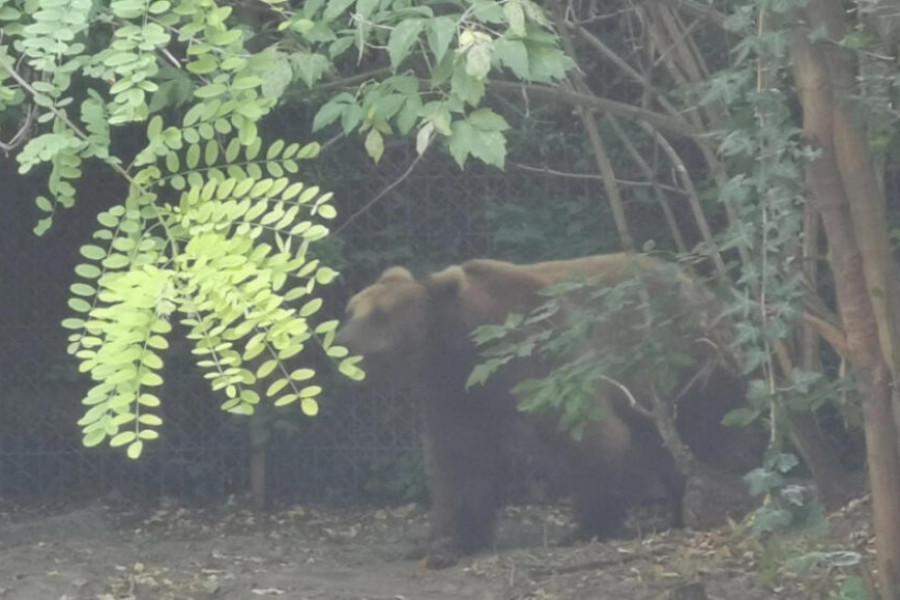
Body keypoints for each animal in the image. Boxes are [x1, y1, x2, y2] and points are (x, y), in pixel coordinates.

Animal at [334, 253, 740, 568]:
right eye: (352, 309)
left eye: (381, 315)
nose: (341, 342)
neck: (465, 347)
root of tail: (700, 285)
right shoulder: (458, 396)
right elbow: (461, 463)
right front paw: (444, 541)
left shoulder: (544, 358)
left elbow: (589, 436)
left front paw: (587, 525)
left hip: (687, 359)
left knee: (714, 424)